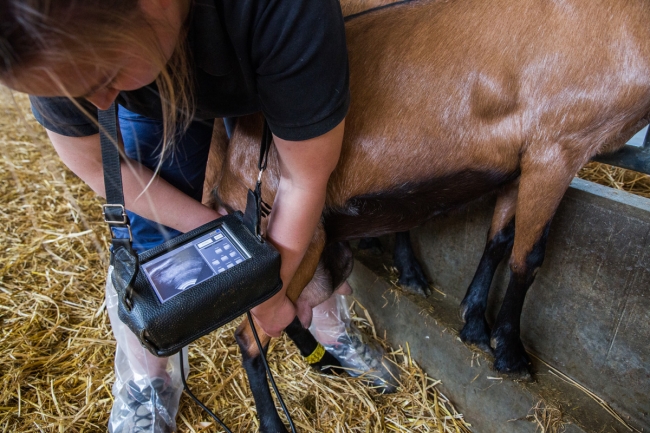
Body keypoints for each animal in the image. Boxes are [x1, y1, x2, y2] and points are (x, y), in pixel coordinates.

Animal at [205, 0, 648, 428]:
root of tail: (231, 173)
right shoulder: (555, 150)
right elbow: (529, 258)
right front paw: (510, 352)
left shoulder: (518, 164)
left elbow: (499, 240)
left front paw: (474, 324)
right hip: (291, 243)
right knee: (249, 338)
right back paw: (274, 421)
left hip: (325, 257)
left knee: (286, 314)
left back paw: (328, 363)